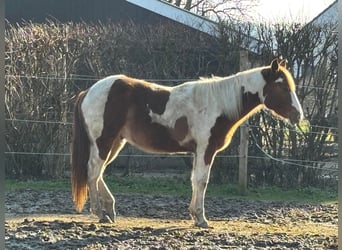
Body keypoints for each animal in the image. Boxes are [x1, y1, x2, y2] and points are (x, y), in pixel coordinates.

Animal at [71, 59, 304, 228]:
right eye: (283, 88)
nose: (298, 116)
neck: (217, 104)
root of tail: (88, 91)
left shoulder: (197, 152)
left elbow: (194, 181)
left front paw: (194, 215)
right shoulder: (206, 150)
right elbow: (202, 181)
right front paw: (201, 219)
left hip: (114, 143)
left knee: (98, 173)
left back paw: (109, 210)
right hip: (104, 141)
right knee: (93, 171)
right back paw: (100, 213)